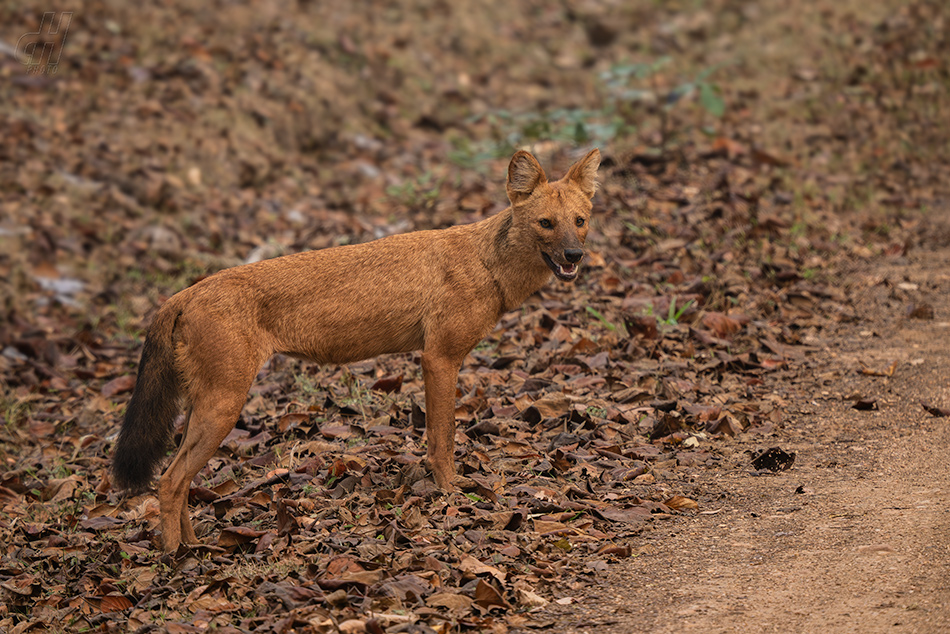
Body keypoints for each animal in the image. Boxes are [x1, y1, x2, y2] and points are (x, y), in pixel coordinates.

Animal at [113, 147, 604, 548]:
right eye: (545, 223)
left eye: (580, 221)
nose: (574, 256)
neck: (487, 263)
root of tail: (184, 293)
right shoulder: (439, 358)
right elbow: (442, 438)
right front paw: (451, 493)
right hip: (224, 405)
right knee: (169, 481)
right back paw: (177, 559)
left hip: (205, 404)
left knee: (178, 480)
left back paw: (195, 546)